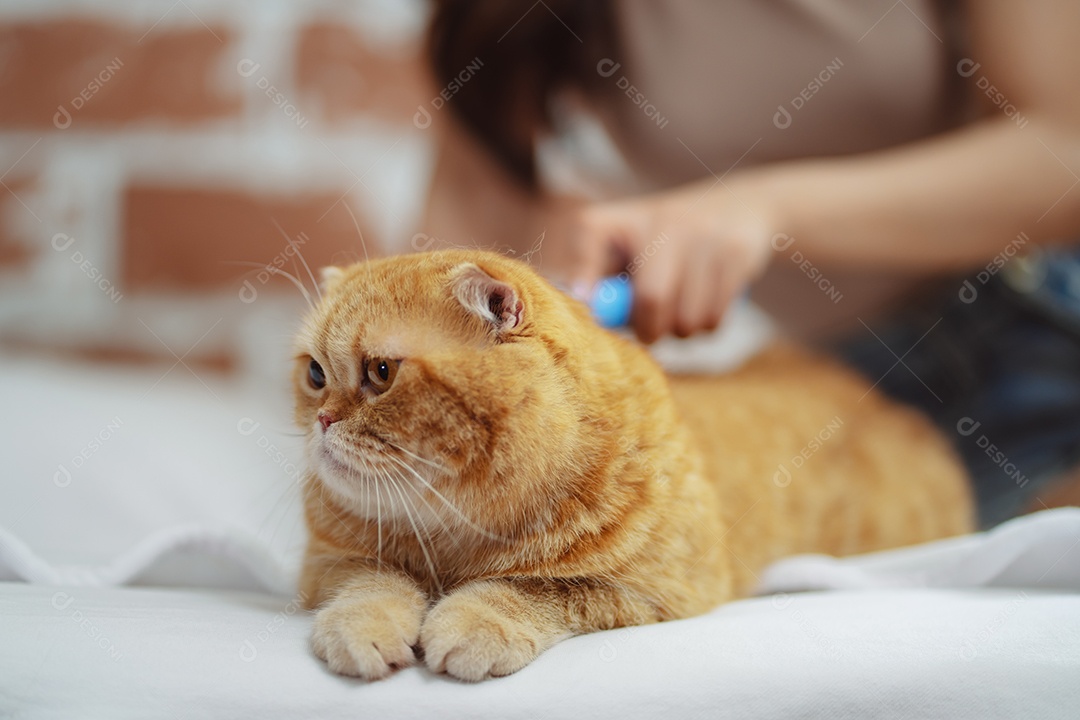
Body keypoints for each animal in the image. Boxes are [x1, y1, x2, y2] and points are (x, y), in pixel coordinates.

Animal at [293, 252, 972, 682]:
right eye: (315, 374)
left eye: (381, 372)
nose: (322, 419)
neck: (455, 535)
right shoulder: (328, 565)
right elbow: (372, 583)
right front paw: (363, 627)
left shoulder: (650, 589)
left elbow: (534, 588)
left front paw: (475, 621)